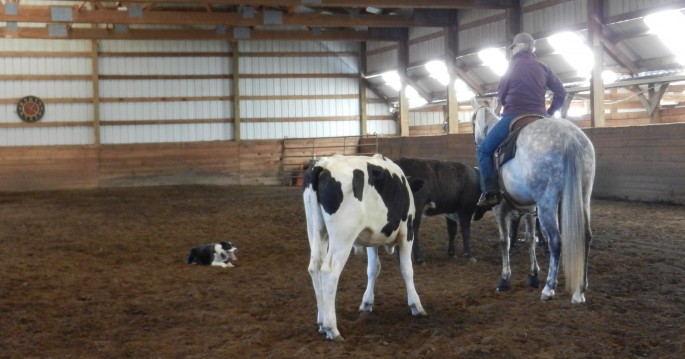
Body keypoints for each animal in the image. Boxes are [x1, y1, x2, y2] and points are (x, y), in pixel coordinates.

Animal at [304, 155, 424, 344]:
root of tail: (324, 164)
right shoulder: (407, 232)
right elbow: (407, 270)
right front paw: (416, 305)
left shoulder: (371, 238)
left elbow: (373, 269)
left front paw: (367, 303)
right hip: (343, 236)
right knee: (329, 272)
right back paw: (332, 329)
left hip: (316, 230)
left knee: (314, 267)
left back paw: (322, 323)